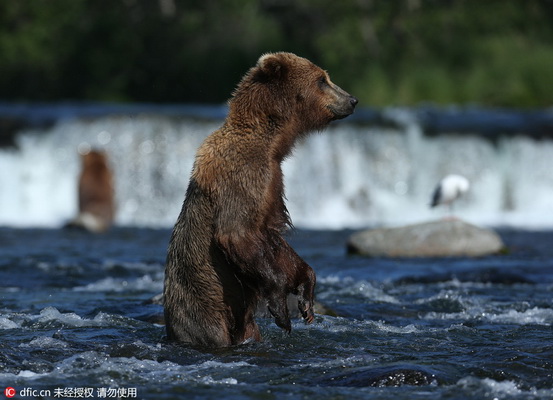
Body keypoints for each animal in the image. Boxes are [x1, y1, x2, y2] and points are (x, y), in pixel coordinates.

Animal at [163, 52, 358, 346]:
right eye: (322, 79)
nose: (352, 100)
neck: (272, 142)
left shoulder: (273, 181)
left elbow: (274, 240)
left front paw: (306, 297)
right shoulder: (244, 177)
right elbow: (238, 233)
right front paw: (281, 310)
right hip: (203, 307)